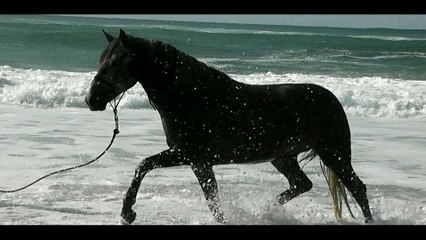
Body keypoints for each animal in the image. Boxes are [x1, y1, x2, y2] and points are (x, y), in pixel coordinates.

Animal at [85, 29, 372, 224]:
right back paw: (267, 210)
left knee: (357, 188)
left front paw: (127, 212)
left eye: (116, 61)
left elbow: (143, 165)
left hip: (334, 153)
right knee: (301, 184)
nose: (91, 100)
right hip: (283, 157)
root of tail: (331, 99)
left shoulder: (188, 154)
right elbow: (213, 201)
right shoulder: (198, 162)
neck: (191, 97)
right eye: (101, 60)